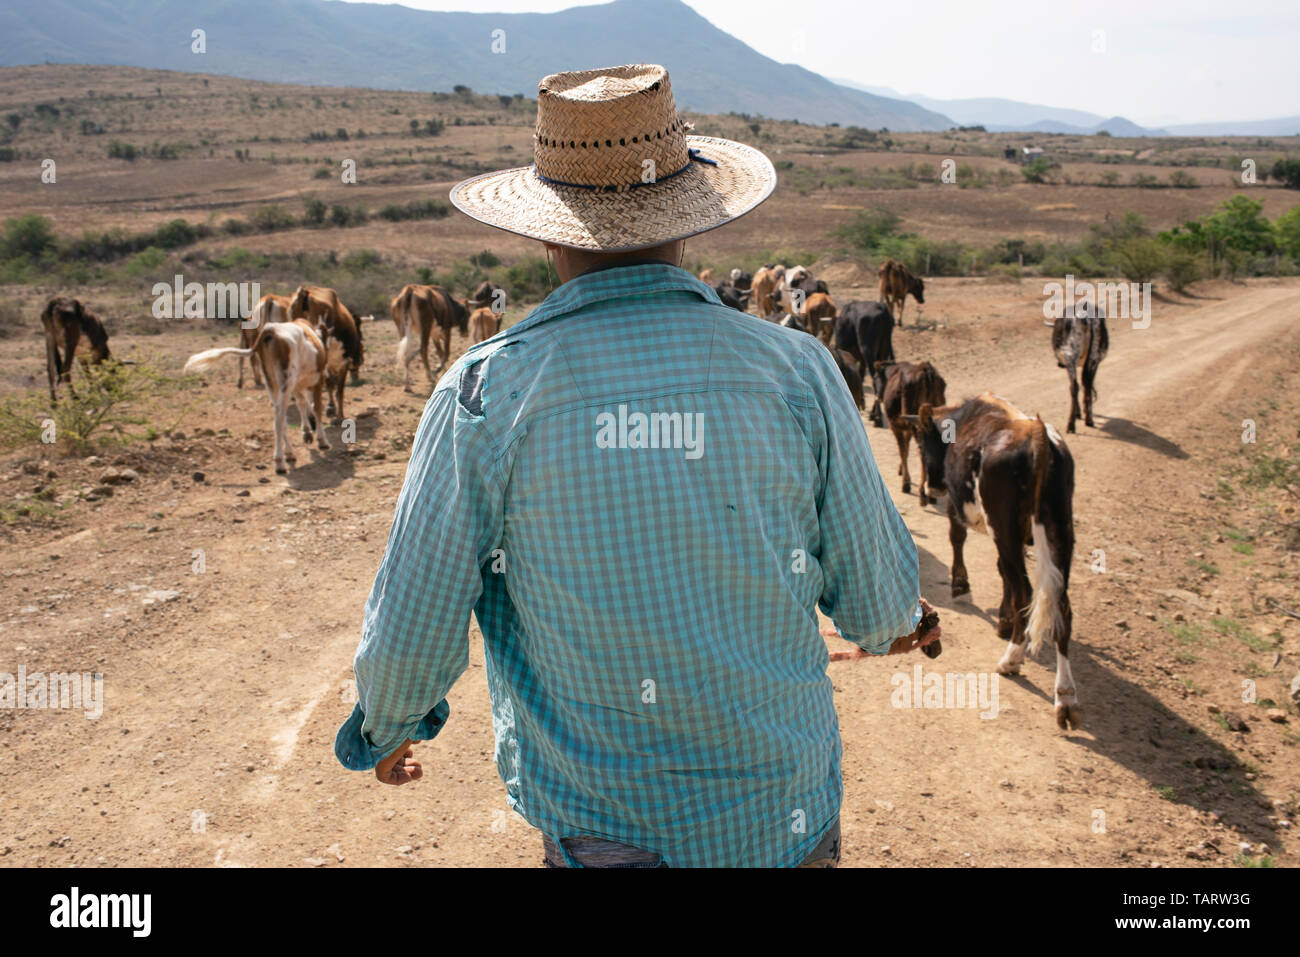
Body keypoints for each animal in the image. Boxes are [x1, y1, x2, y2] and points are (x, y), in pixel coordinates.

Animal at [878, 361, 951, 509]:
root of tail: (926, 371)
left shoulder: (896, 425)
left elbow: (903, 451)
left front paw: (905, 483)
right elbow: (905, 448)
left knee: (923, 453)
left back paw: (923, 494)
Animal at [899, 392, 1081, 728]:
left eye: (922, 442)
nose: (932, 488)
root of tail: (1037, 434)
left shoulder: (958, 505)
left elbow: (957, 537)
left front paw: (960, 585)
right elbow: (1001, 572)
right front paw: (1004, 619)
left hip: (1005, 526)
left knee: (1025, 590)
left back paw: (1011, 659)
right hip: (1060, 527)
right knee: (1062, 606)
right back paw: (1066, 698)